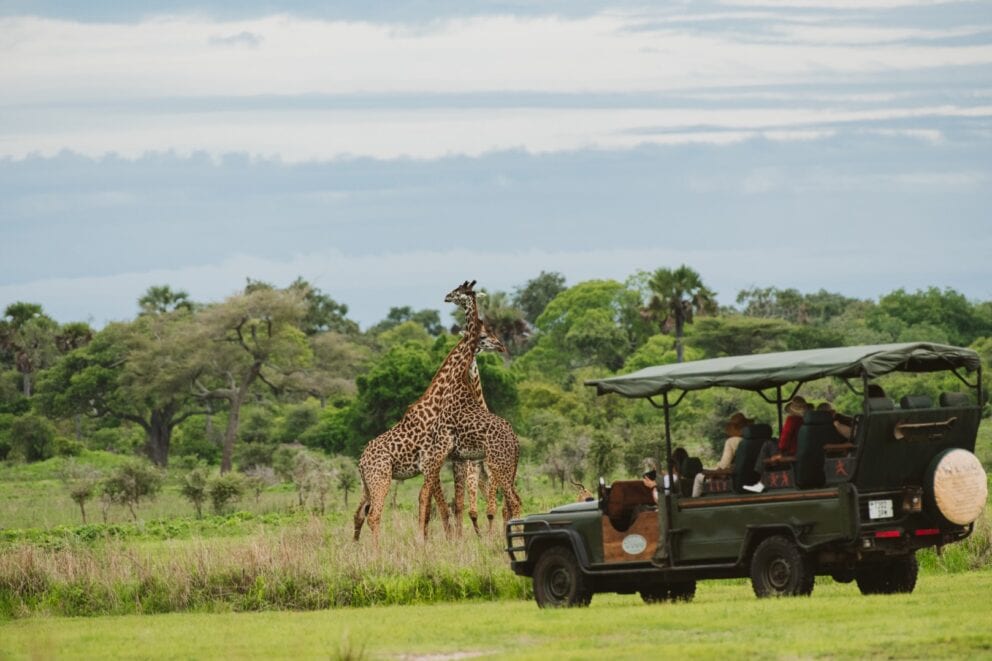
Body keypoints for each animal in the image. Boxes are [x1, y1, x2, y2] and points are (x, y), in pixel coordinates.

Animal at [353, 280, 486, 543]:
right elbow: (434, 502)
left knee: (359, 514)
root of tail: (361, 462)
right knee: (373, 515)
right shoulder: (431, 462)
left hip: (368, 484)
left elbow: (435, 502)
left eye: (459, 291)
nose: (446, 297)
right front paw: (434, 541)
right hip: (381, 479)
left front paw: (436, 539)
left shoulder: (437, 462)